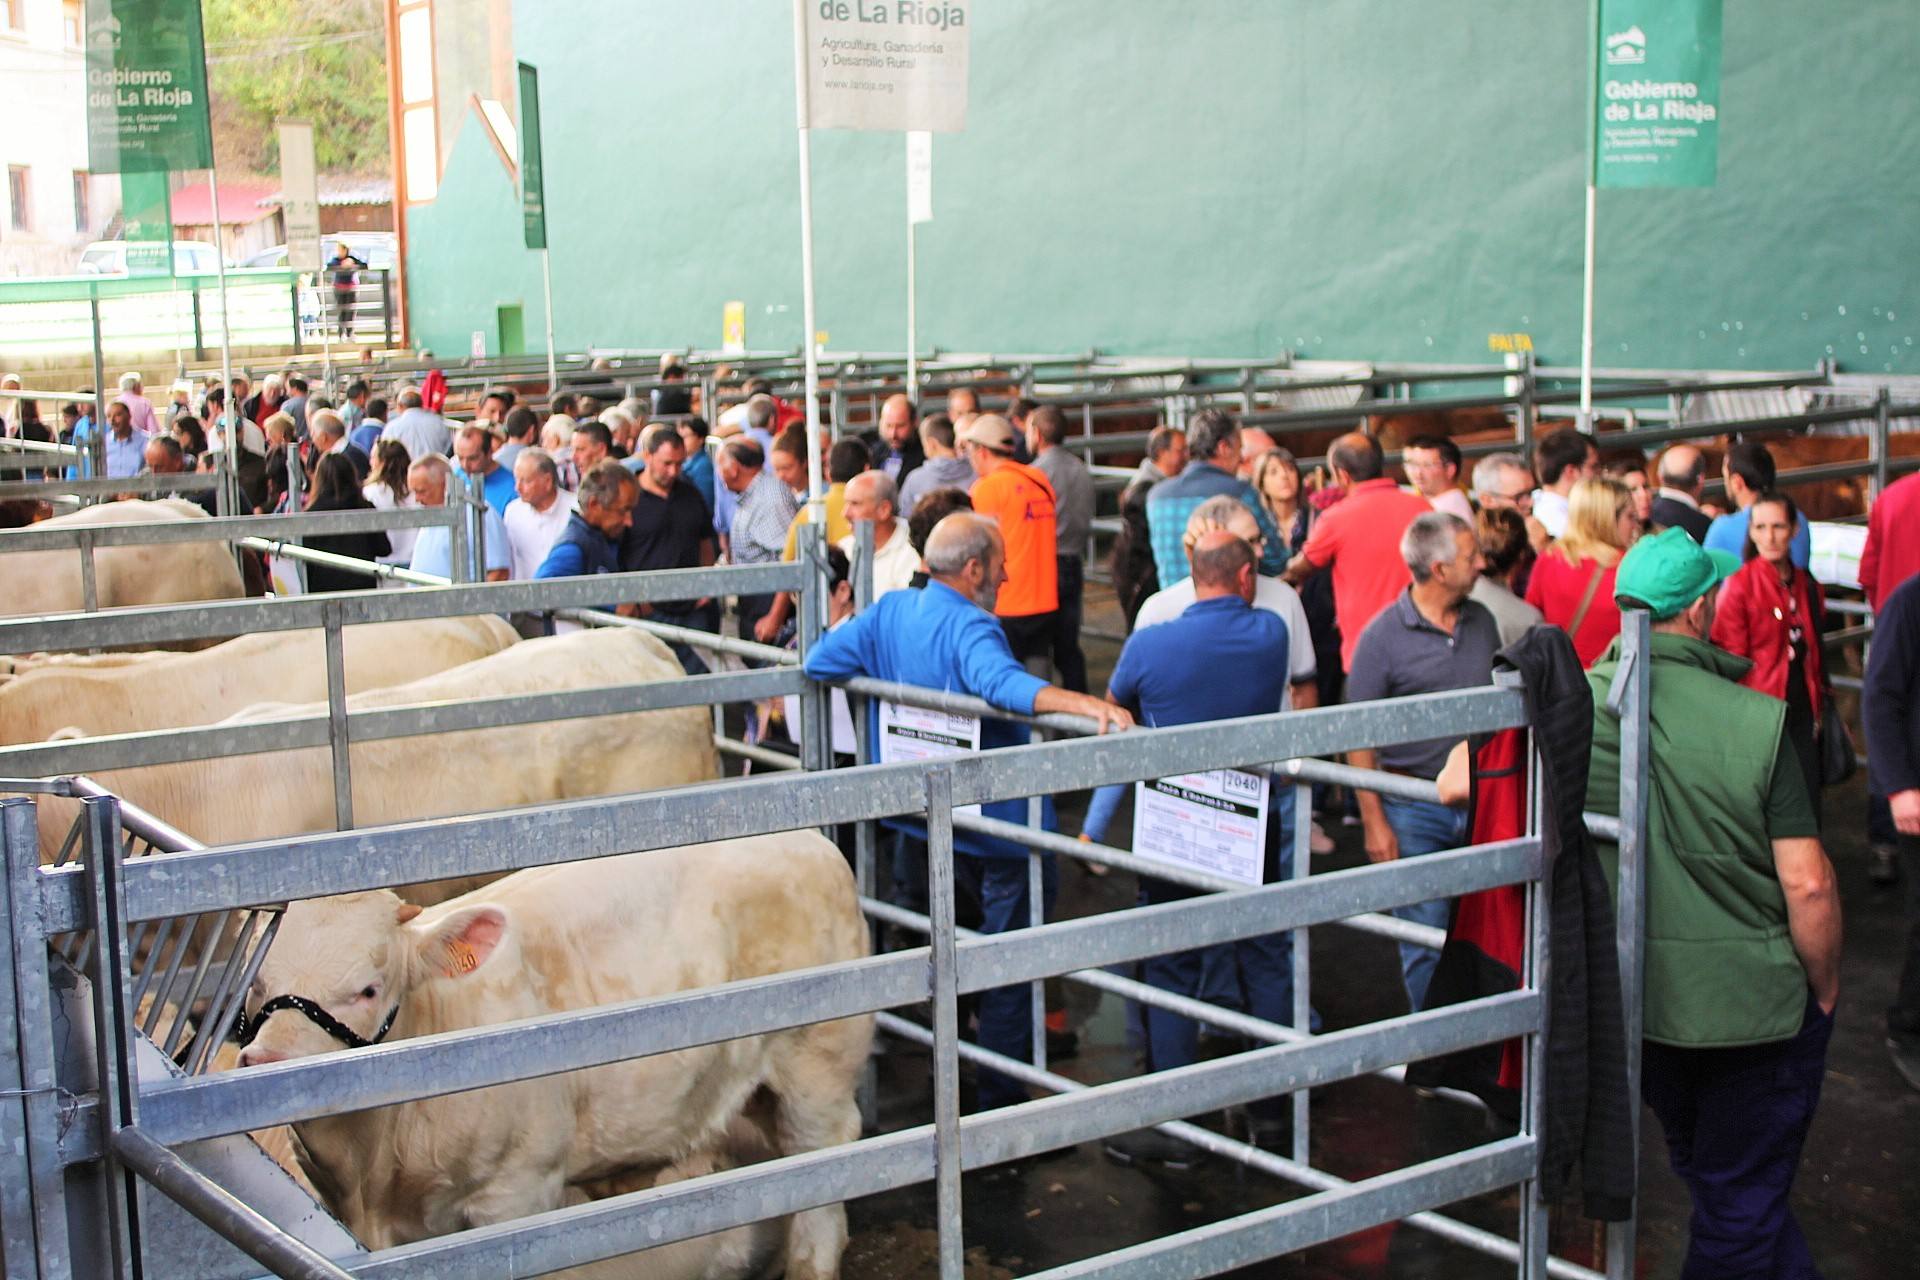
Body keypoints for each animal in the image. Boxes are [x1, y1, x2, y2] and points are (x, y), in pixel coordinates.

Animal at [236, 836, 875, 1280]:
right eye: (256, 981)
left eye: (368, 989)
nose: (268, 1060)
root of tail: (811, 842)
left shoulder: (517, 1191)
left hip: (817, 1072)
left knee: (820, 1187)